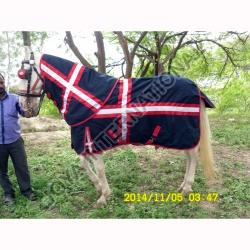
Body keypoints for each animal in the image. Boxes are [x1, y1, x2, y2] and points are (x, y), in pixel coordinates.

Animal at [16, 47, 215, 207]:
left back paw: (187, 187)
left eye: (23, 74)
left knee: (193, 157)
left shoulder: (93, 138)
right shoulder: (83, 139)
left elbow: (99, 168)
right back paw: (182, 186)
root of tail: (194, 86)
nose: (24, 108)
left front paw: (104, 196)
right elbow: (83, 163)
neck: (81, 92)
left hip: (184, 133)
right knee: (189, 157)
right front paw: (98, 186)